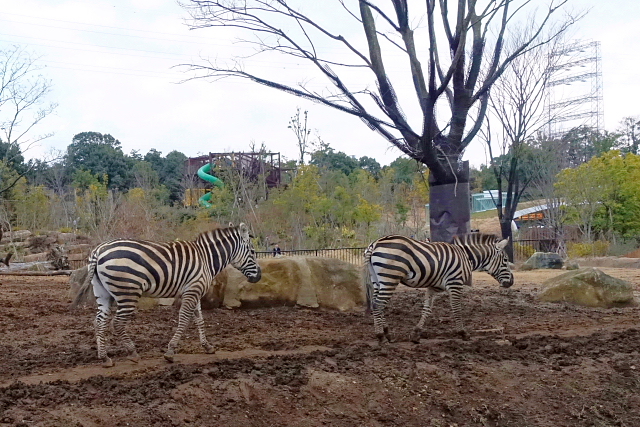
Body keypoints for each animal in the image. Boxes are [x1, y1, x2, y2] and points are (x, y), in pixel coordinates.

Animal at [70, 224, 260, 368]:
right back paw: (132, 353)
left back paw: (105, 358)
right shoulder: (193, 290)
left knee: (99, 321)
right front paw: (170, 351)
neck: (206, 258)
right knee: (117, 323)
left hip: (103, 292)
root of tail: (98, 250)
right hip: (127, 291)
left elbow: (199, 319)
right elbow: (184, 319)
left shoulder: (195, 291)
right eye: (252, 251)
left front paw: (207, 346)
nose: (259, 276)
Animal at [362, 234, 512, 344]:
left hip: (377, 280)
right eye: (505, 260)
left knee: (377, 304)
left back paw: (387, 334)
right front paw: (463, 333)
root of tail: (374, 244)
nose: (511, 282)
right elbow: (456, 309)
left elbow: (427, 309)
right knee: (378, 304)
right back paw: (381, 336)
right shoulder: (455, 283)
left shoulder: (433, 287)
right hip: (390, 277)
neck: (466, 257)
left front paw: (416, 334)